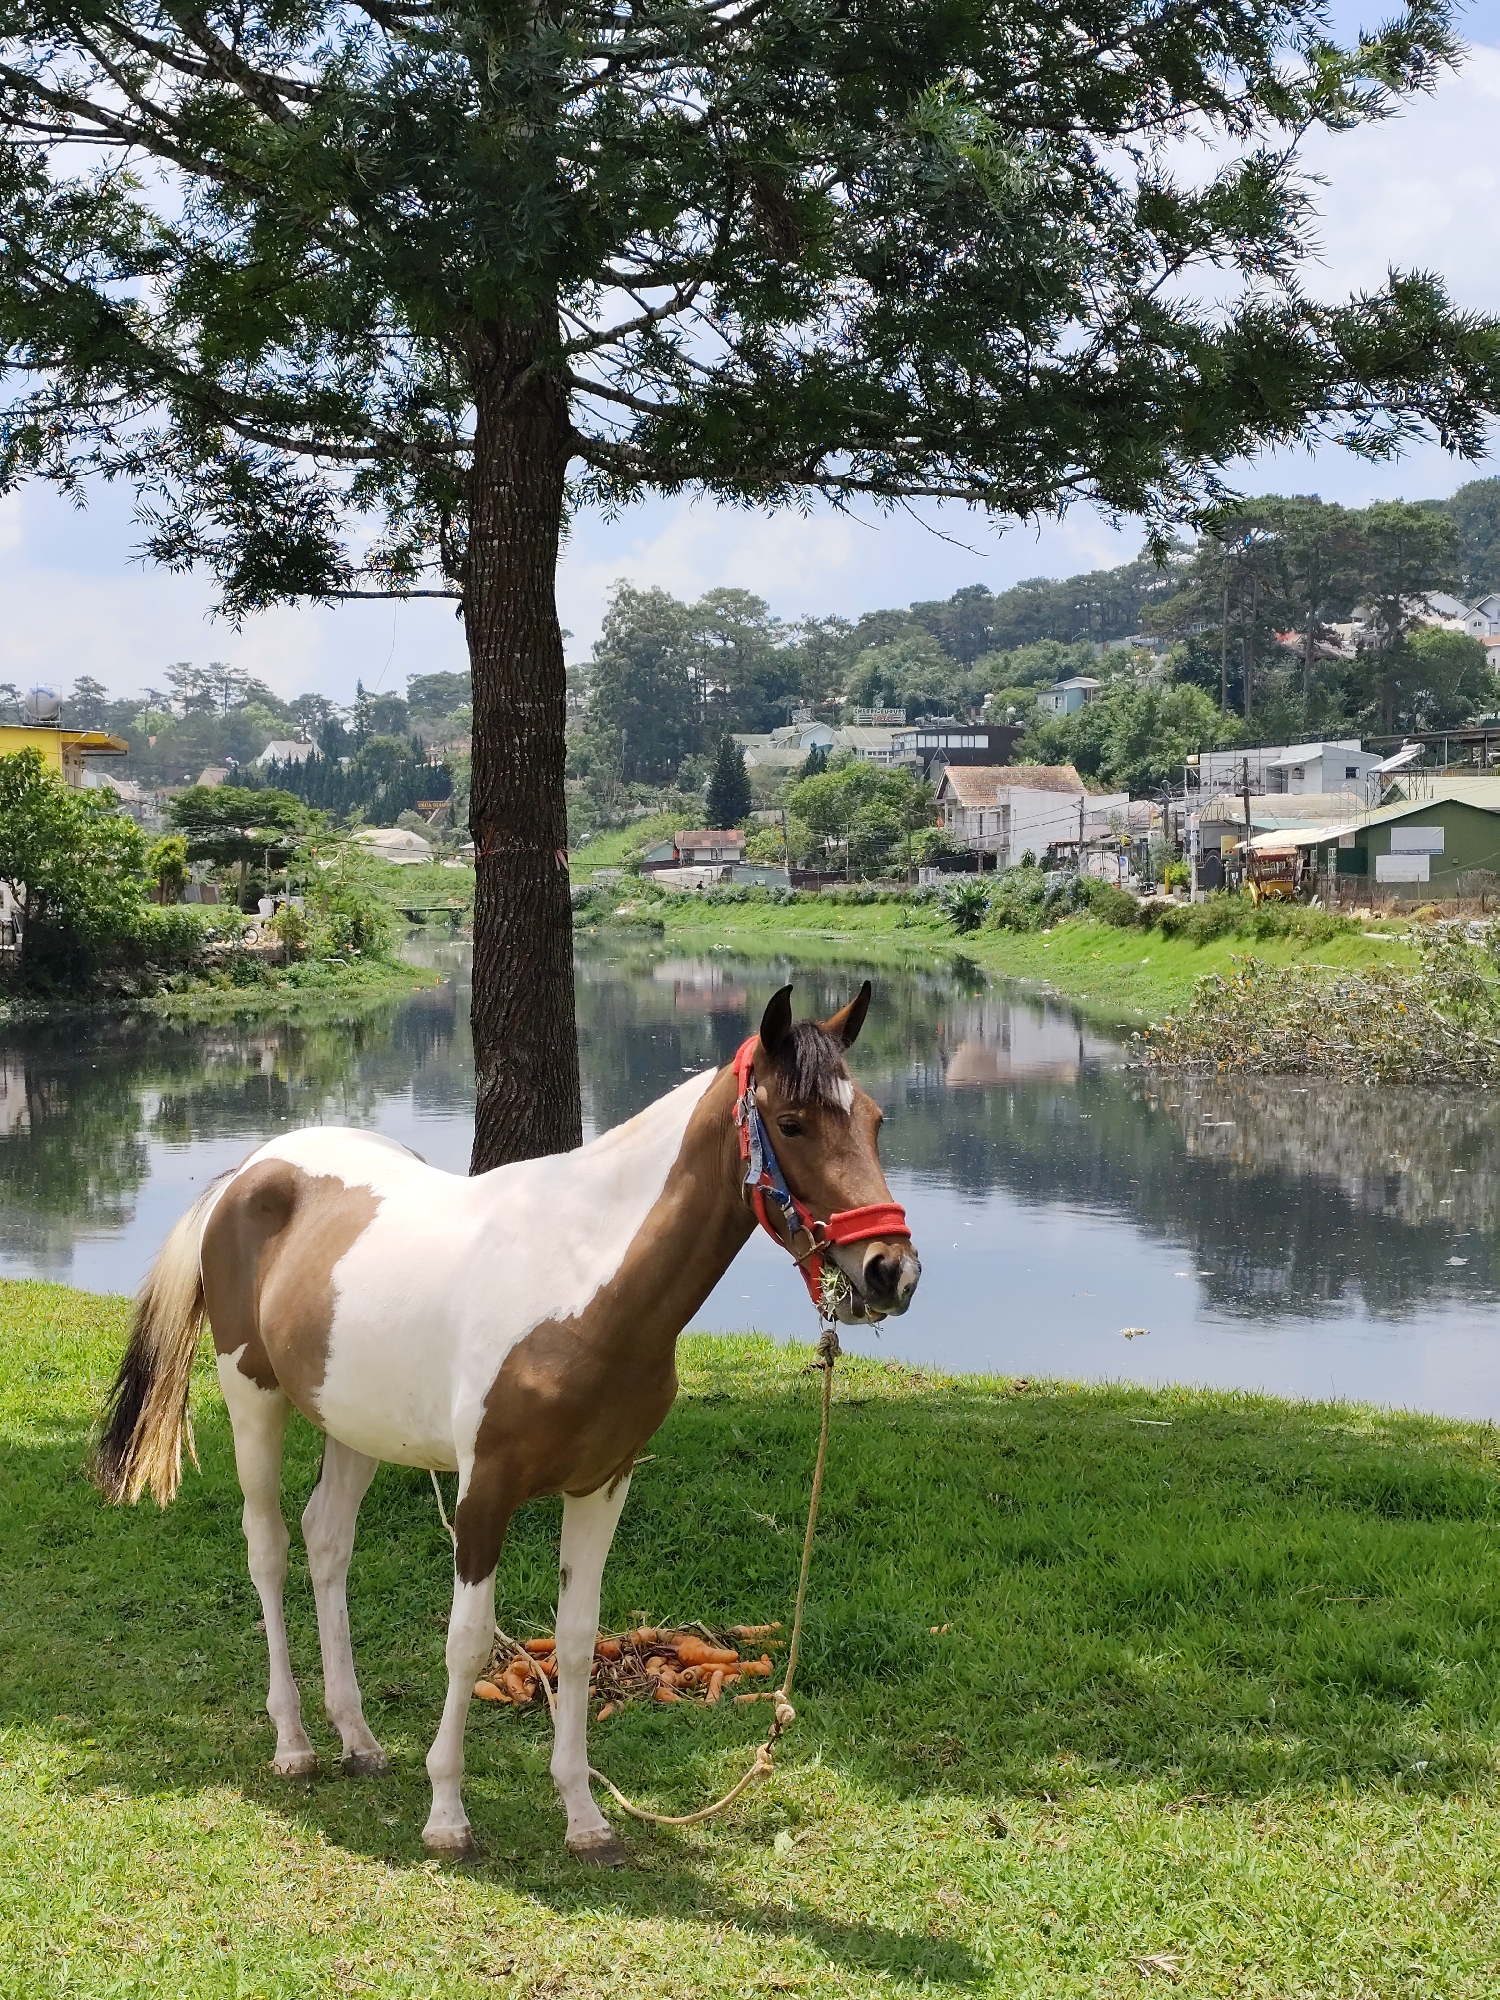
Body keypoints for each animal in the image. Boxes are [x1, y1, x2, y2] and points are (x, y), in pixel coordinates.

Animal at [94, 982, 921, 1865]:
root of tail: (250, 1171)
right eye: (792, 1123)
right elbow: (468, 1640)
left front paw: (585, 1818)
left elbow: (579, 1640)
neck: (583, 1278)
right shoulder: (483, 1493)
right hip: (252, 1398)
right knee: (270, 1550)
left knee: (327, 1544)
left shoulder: (602, 1486)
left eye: (875, 1119)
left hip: (354, 1426)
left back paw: (359, 1740)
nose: (892, 1272)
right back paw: (294, 1745)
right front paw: (447, 1815)